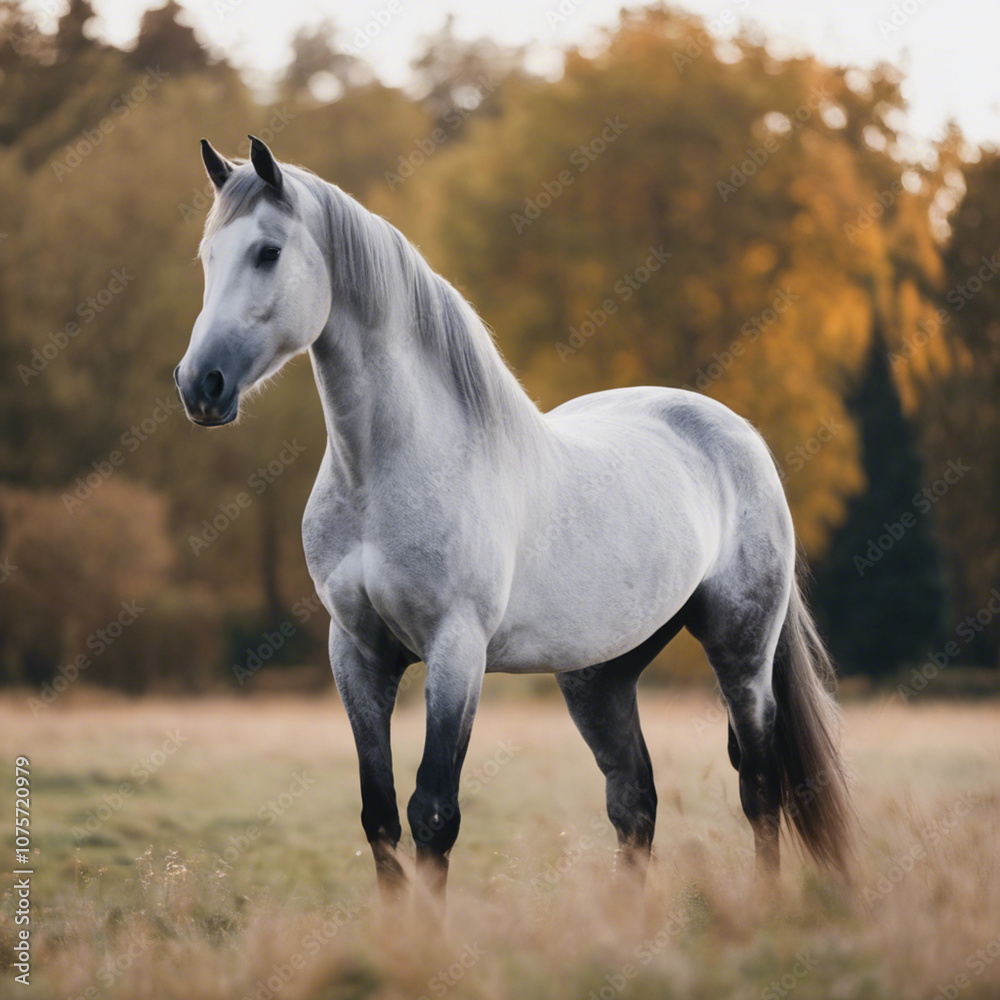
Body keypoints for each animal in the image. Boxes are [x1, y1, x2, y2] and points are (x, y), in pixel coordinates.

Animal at [175, 135, 855, 906]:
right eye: (208, 256)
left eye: (267, 252)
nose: (199, 385)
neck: (385, 470)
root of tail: (739, 436)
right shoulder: (356, 652)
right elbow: (379, 816)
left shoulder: (456, 651)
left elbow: (432, 813)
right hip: (600, 676)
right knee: (634, 800)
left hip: (741, 654)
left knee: (760, 787)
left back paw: (765, 904)